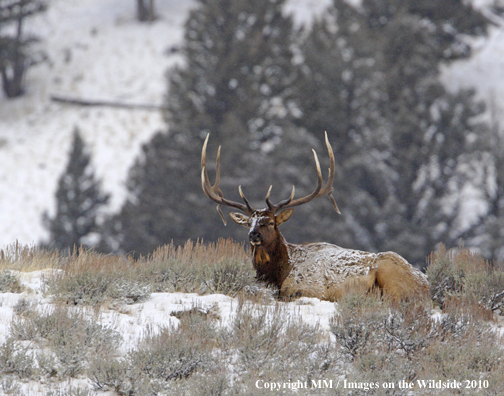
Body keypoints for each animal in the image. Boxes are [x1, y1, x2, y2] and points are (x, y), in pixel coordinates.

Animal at [201, 133, 430, 300]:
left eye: (271, 222)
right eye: (249, 222)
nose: (254, 235)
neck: (277, 273)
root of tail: (425, 284)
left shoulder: (312, 288)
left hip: (389, 274)